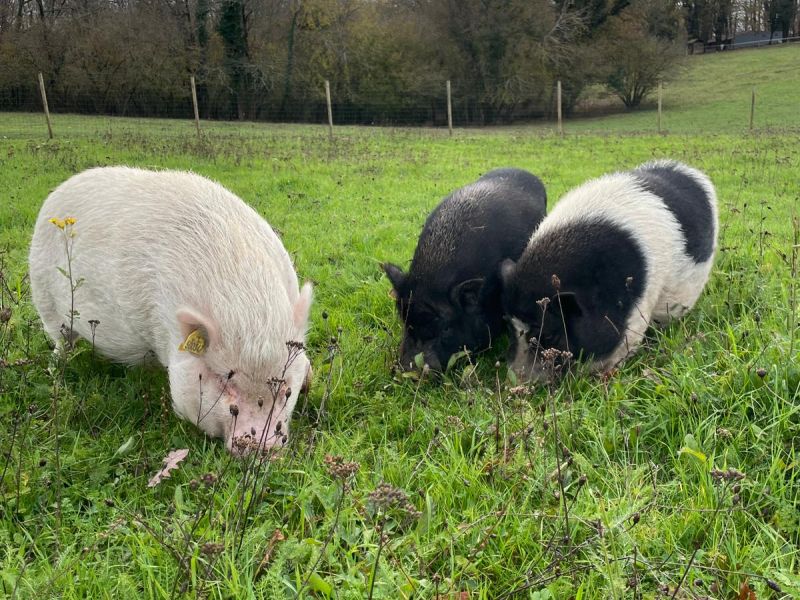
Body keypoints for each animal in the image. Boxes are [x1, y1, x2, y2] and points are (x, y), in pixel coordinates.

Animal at [28, 166, 310, 452]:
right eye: (224, 380)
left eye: (286, 387)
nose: (265, 447)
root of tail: (61, 188)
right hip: (43, 295)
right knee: (61, 342)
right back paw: (56, 375)